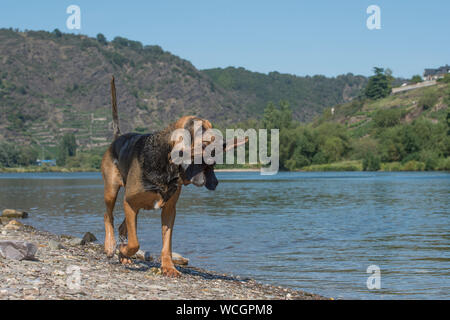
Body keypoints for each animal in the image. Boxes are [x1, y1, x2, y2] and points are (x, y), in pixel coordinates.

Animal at [100, 76, 244, 276]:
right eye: (201, 129)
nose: (225, 143)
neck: (167, 164)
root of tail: (118, 138)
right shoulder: (129, 202)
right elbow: (135, 243)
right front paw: (122, 249)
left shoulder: (169, 210)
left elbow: (166, 244)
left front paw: (168, 267)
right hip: (111, 191)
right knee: (108, 217)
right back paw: (110, 246)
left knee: (122, 226)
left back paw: (124, 256)